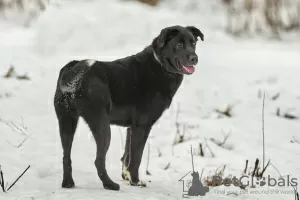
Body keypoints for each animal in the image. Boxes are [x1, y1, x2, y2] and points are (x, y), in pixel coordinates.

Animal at [54, 25, 204, 191]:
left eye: (193, 43)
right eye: (179, 45)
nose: (194, 58)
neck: (159, 65)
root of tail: (74, 73)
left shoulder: (130, 128)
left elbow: (127, 155)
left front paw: (126, 177)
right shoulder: (142, 126)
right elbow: (136, 158)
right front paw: (135, 181)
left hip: (67, 123)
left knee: (66, 157)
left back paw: (68, 183)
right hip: (102, 126)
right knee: (98, 160)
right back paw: (109, 184)